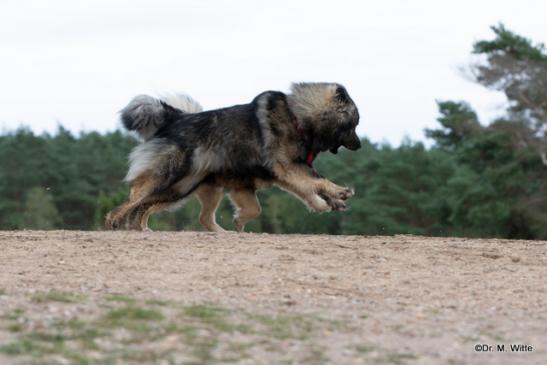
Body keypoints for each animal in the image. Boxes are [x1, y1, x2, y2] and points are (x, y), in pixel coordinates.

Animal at [107, 82, 364, 230]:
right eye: (355, 123)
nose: (360, 145)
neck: (299, 117)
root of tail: (175, 117)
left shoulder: (288, 172)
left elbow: (309, 187)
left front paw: (330, 201)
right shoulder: (287, 166)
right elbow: (316, 182)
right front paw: (338, 193)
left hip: (179, 188)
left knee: (147, 205)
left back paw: (139, 228)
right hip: (169, 174)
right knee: (136, 195)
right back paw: (114, 219)